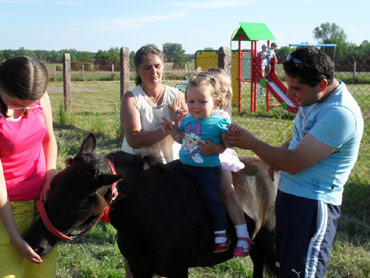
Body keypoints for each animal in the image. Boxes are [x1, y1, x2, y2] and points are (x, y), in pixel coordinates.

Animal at [23, 134, 278, 276]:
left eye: (78, 204)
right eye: (52, 185)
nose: (33, 244)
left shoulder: (177, 271)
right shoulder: (139, 268)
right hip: (257, 247)